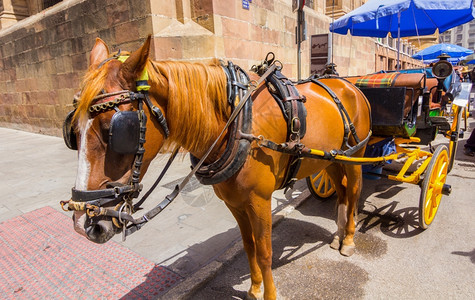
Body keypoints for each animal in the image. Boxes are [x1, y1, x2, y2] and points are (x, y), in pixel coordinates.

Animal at [67, 37, 372, 300]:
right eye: (73, 132)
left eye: (115, 130)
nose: (86, 224)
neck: (237, 125)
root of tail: (348, 84)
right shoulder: (234, 202)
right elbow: (249, 246)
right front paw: (255, 289)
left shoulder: (260, 200)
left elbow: (264, 252)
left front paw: (269, 294)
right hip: (331, 159)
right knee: (341, 191)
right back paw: (338, 234)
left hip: (356, 155)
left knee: (354, 191)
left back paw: (348, 240)